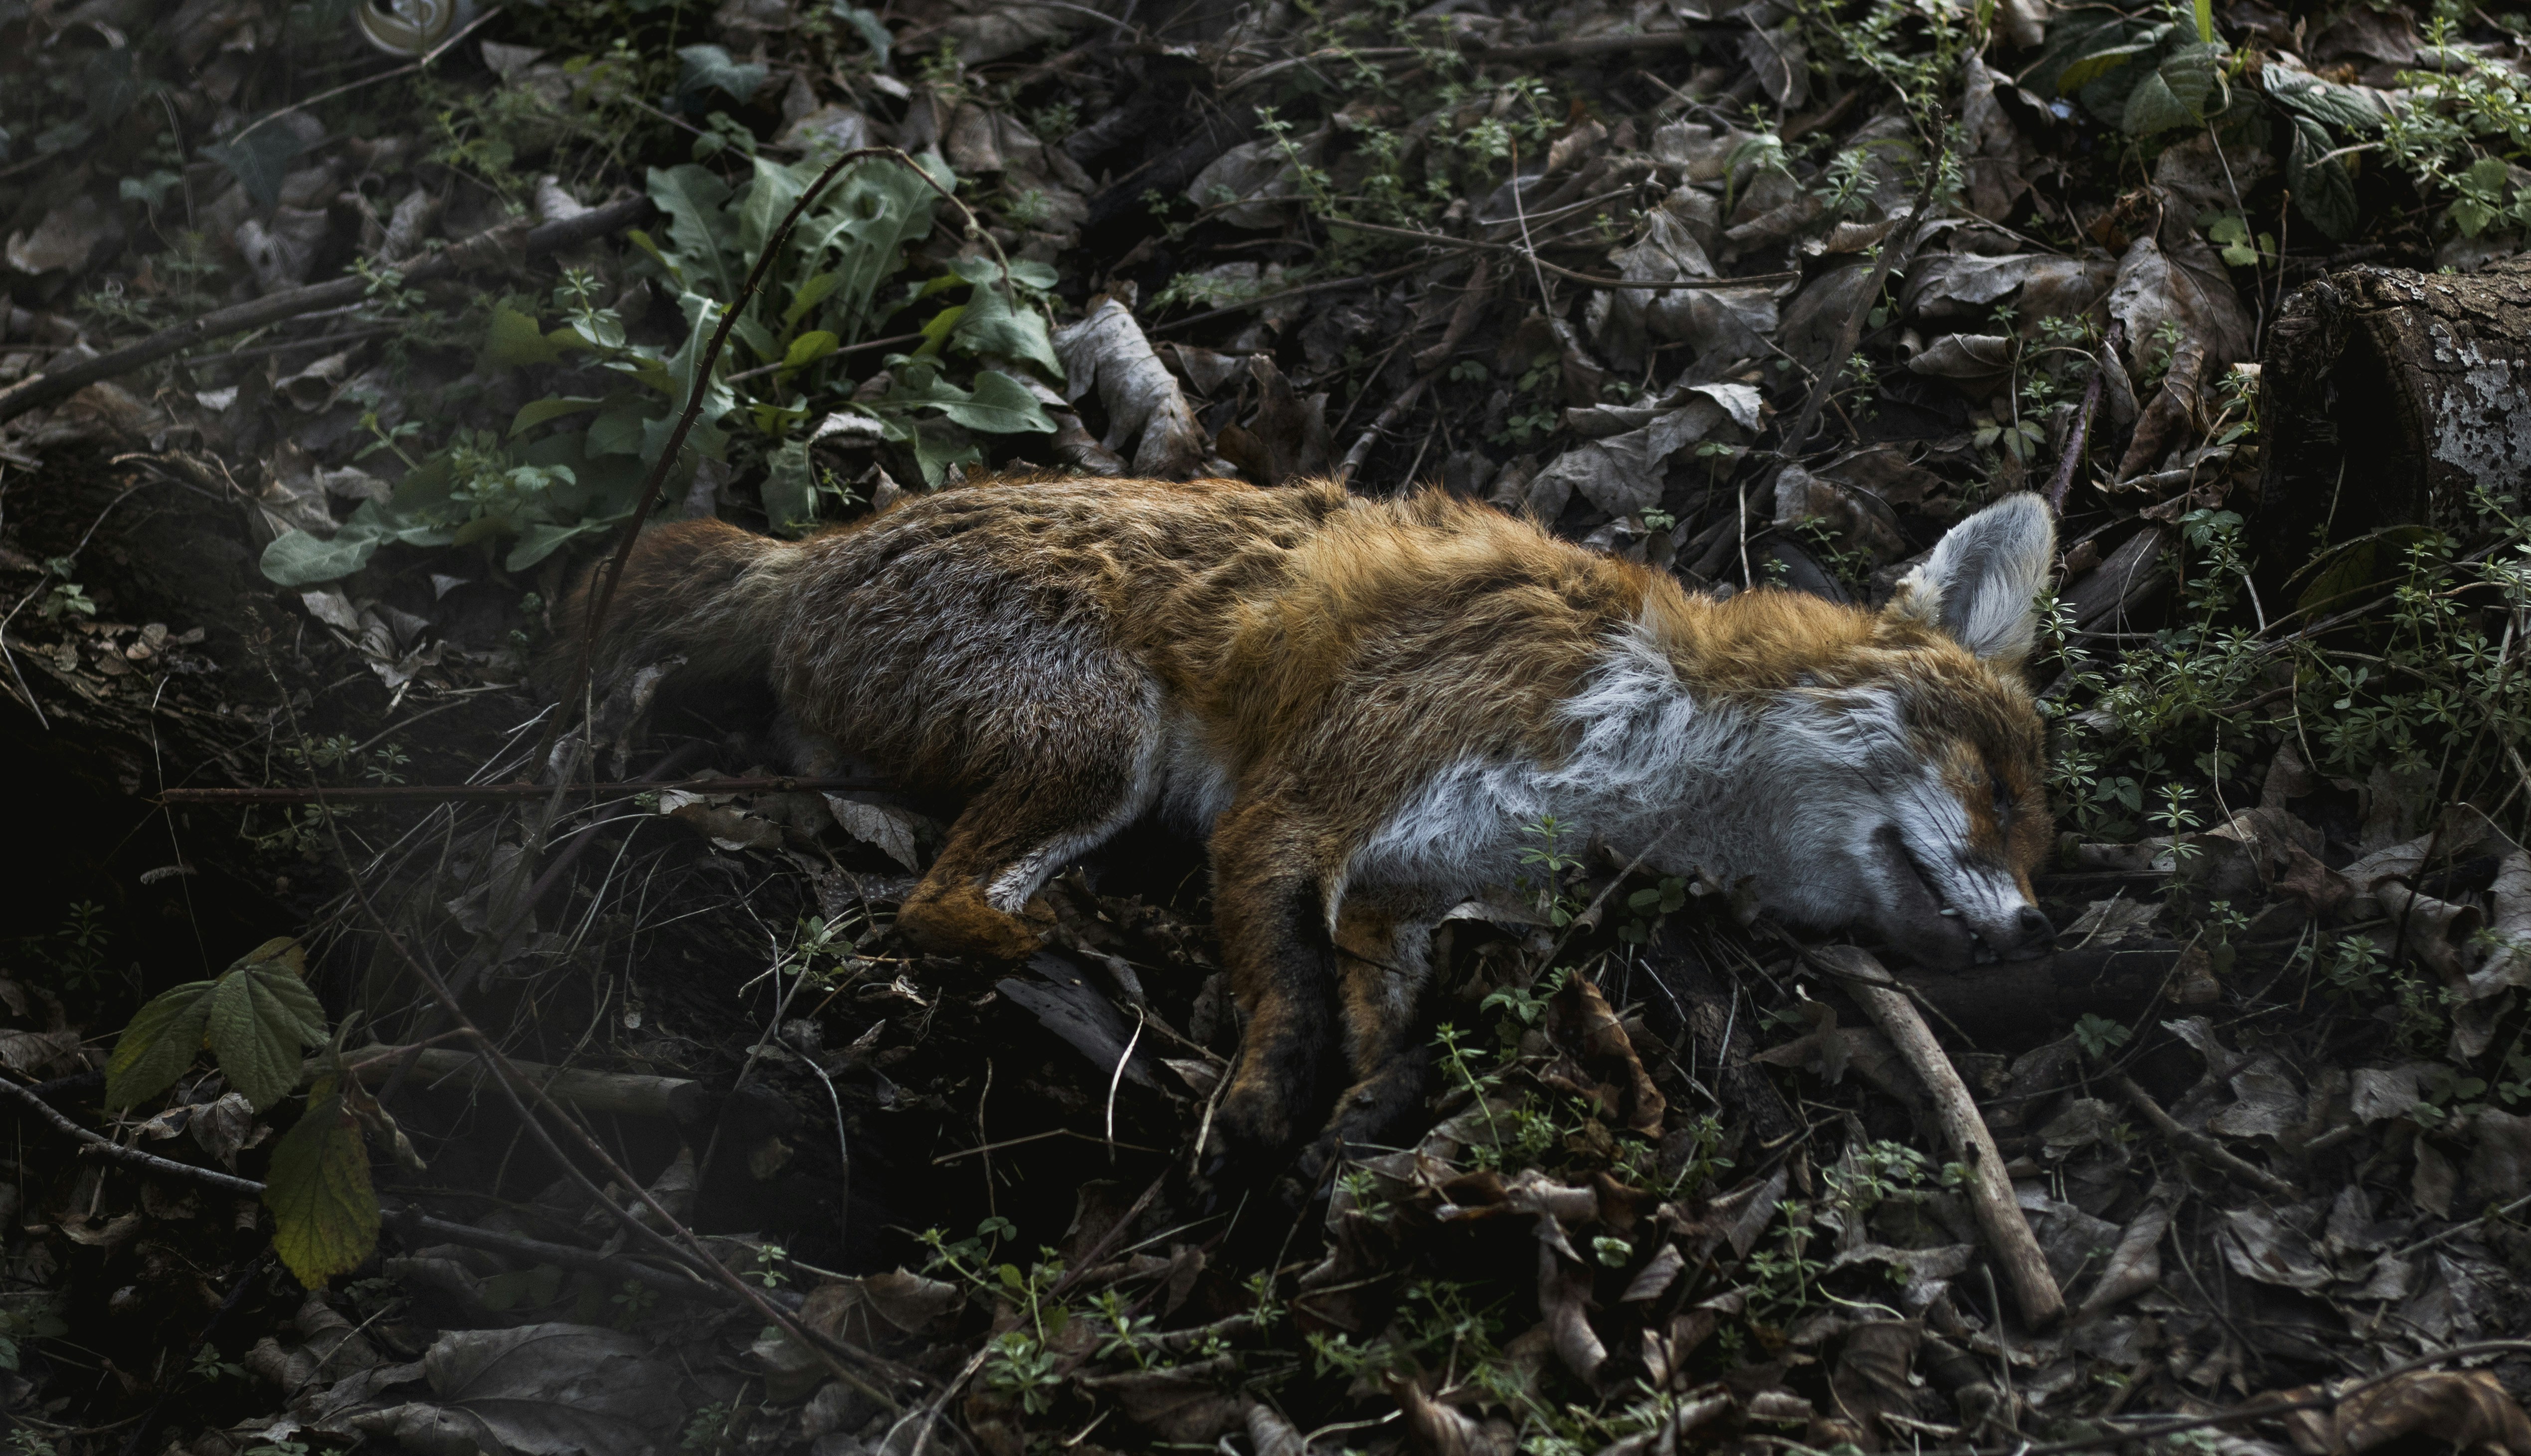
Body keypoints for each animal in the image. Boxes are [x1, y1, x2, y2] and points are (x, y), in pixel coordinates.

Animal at [562, 473, 2059, 1174]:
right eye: (1996, 793)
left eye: (2039, 840)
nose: (2029, 932)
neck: (1643, 744)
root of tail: (815, 549)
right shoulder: (1300, 810)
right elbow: (1284, 993)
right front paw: (1264, 1105)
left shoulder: (1413, 880)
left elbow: (1383, 1017)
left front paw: (1367, 1113)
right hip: (1098, 751)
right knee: (935, 905)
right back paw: (1076, 953)